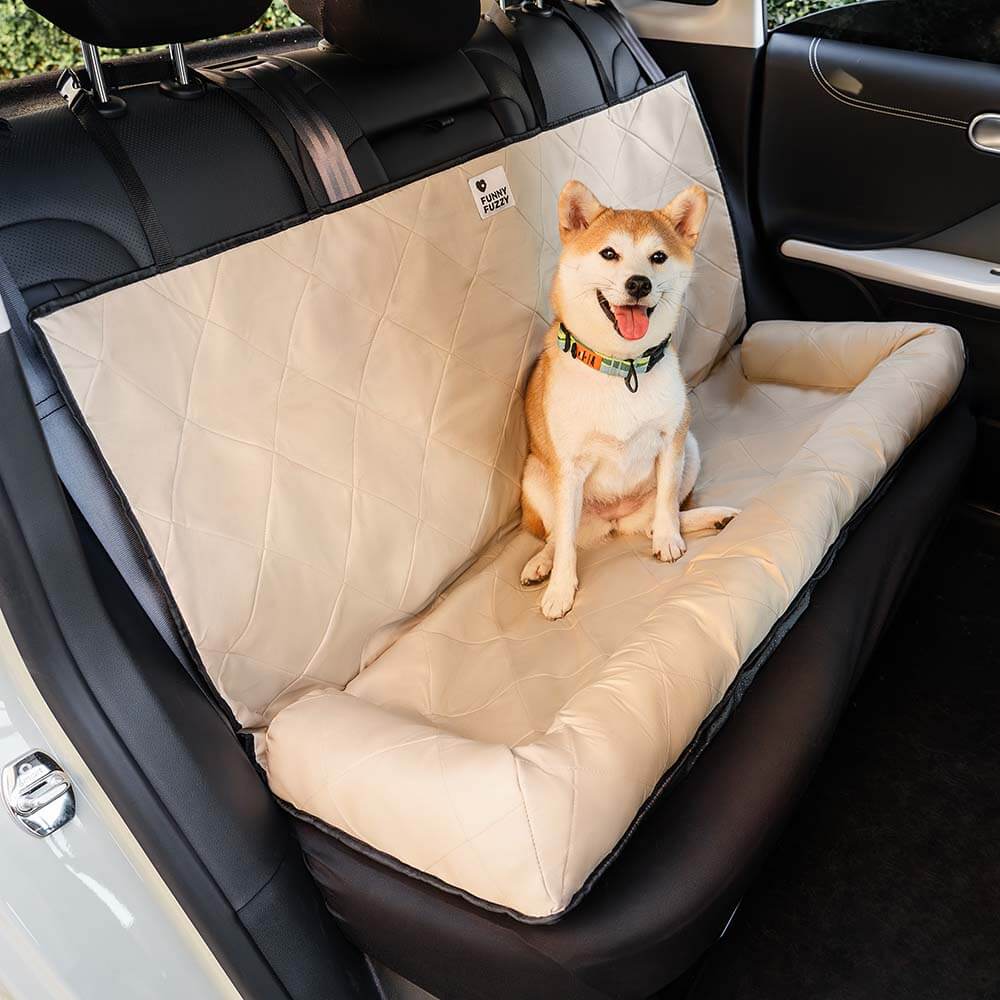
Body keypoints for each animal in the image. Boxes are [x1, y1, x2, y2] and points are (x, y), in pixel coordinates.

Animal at [520, 180, 740, 616]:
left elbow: (668, 501)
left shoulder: (672, 440)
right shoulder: (568, 467)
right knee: (561, 536)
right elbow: (566, 542)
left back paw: (700, 521)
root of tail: (615, 521)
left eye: (658, 257)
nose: (639, 283)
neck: (622, 368)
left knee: (658, 516)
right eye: (609, 253)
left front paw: (669, 539)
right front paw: (561, 588)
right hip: (535, 475)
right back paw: (542, 563)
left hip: (691, 447)